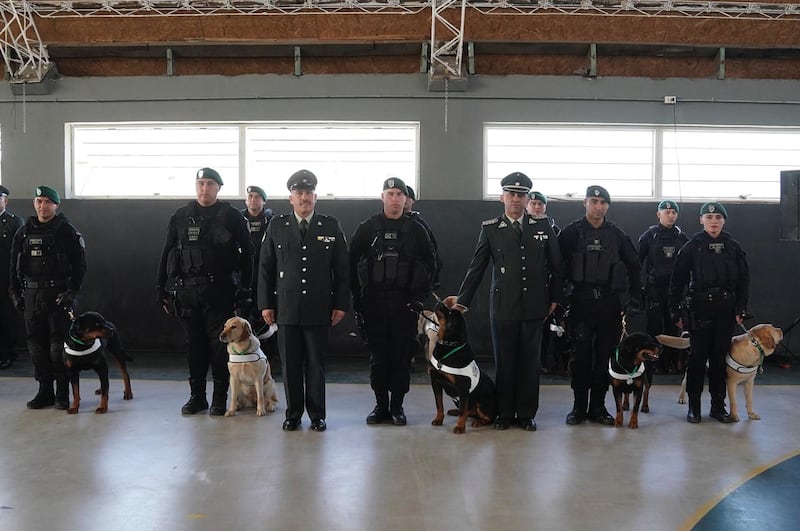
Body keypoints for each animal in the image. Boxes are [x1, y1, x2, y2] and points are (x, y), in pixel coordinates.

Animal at [422, 302, 496, 434]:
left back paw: (479, 422)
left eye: (450, 312)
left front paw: (460, 427)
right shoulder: (435, 382)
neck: (448, 347)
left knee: (487, 417)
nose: (440, 302)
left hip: (483, 402)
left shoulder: (463, 387)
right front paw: (438, 419)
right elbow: (439, 404)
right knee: (469, 411)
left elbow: (463, 410)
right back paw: (455, 411)